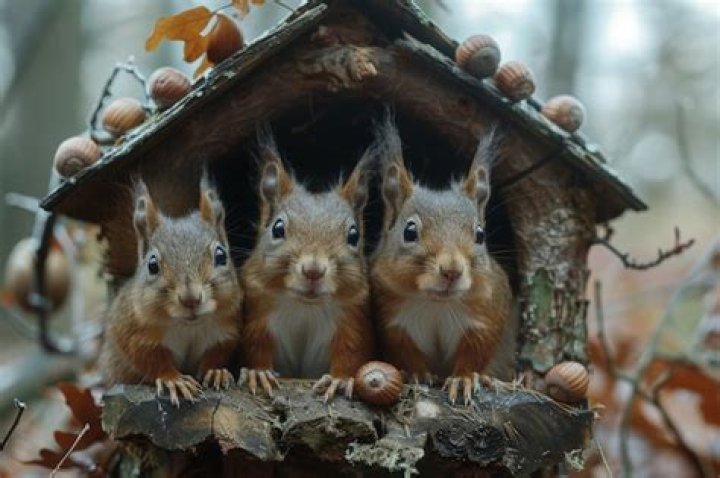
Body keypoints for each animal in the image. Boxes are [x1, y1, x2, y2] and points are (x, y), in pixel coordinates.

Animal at [98, 174, 243, 406]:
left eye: (221, 255)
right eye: (152, 265)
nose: (191, 298)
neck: (187, 326)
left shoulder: (226, 328)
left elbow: (218, 353)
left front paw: (216, 371)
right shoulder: (134, 331)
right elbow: (150, 359)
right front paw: (174, 380)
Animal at [240, 129, 374, 401]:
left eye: (354, 235)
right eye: (277, 228)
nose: (313, 270)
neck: (305, 308)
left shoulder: (352, 321)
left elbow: (351, 353)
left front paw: (339, 379)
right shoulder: (257, 316)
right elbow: (255, 346)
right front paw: (258, 373)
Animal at [369, 115, 513, 405]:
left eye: (480, 234)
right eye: (409, 231)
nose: (452, 270)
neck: (436, 304)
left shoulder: (488, 313)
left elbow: (477, 351)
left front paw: (463, 378)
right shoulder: (392, 322)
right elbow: (403, 351)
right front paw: (416, 374)